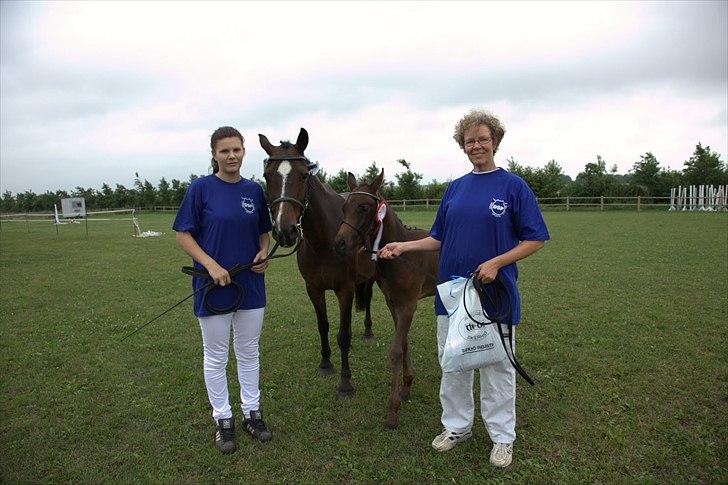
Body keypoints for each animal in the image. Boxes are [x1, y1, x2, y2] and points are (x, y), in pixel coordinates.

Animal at [260, 127, 376, 398]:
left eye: (304, 176)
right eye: (266, 176)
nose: (285, 231)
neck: (324, 241)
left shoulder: (345, 290)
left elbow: (343, 334)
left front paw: (345, 382)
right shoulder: (313, 289)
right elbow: (323, 325)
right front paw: (325, 363)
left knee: (368, 301)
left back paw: (367, 331)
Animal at [334, 170, 438, 428]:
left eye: (363, 207)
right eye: (344, 207)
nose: (340, 243)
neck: (399, 255)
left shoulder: (409, 305)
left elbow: (395, 351)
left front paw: (392, 410)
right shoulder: (394, 303)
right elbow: (404, 343)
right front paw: (407, 387)